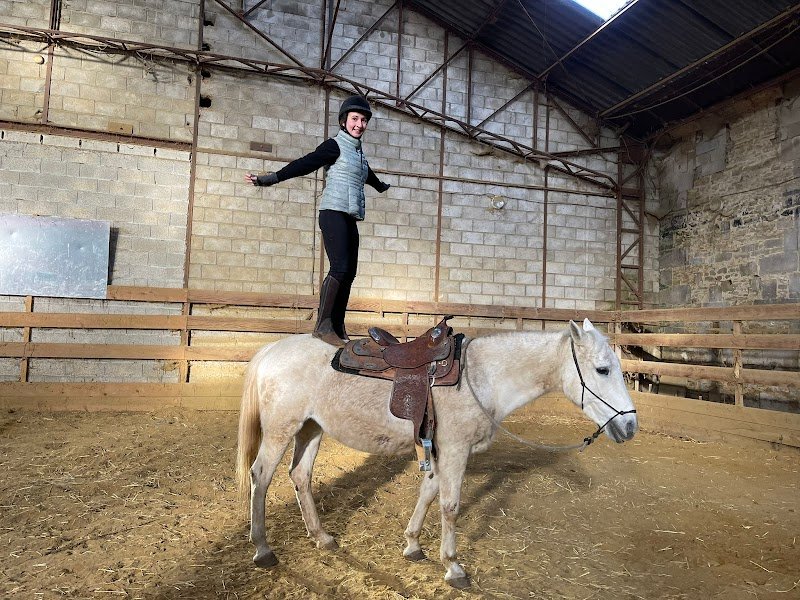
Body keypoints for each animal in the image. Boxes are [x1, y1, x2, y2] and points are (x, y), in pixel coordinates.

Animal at [235, 318, 638, 589]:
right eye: (602, 369)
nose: (630, 425)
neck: (482, 376)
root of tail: (272, 351)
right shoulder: (457, 449)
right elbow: (450, 505)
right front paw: (453, 567)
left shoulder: (441, 450)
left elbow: (428, 492)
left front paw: (413, 544)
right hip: (281, 430)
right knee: (261, 476)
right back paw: (262, 549)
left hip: (311, 428)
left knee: (300, 476)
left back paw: (322, 537)